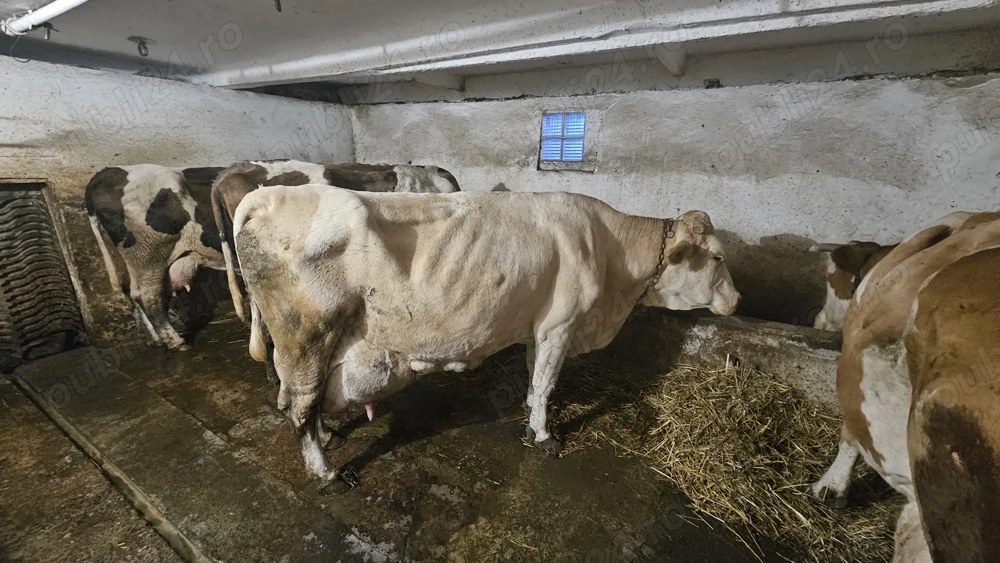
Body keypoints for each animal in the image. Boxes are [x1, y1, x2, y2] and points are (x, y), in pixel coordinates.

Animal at [86, 160, 461, 351]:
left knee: (138, 296)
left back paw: (155, 338)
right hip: (148, 253)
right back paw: (175, 341)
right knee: (149, 296)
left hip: (150, 258)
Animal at [233, 185, 741, 491]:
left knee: (304, 402)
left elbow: (535, 375)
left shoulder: (540, 326)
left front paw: (530, 414)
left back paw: (330, 436)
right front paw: (544, 435)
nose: (737, 299)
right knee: (300, 406)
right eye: (717, 257)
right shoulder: (561, 324)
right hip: (306, 337)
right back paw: (327, 472)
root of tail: (268, 194)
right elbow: (547, 383)